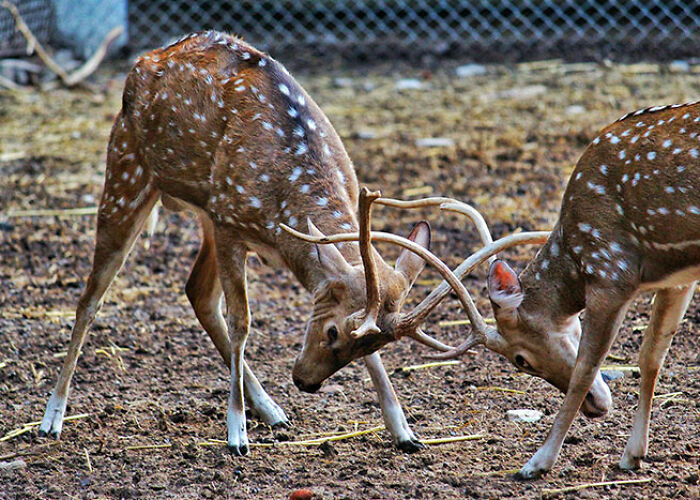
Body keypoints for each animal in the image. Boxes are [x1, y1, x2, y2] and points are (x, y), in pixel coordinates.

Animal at [38, 30, 500, 455]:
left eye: (363, 345)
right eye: (332, 332)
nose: (305, 382)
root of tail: (141, 63)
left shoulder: (229, 222)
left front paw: (404, 431)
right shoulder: (230, 223)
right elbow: (242, 321)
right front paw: (235, 433)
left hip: (204, 210)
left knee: (196, 292)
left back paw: (272, 410)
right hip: (127, 172)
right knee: (91, 299)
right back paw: (52, 418)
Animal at [287, 102, 699, 478]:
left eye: (520, 359)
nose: (597, 407)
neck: (575, 257)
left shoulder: (611, 271)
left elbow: (585, 369)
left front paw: (536, 463)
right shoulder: (675, 277)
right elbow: (650, 357)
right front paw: (633, 455)